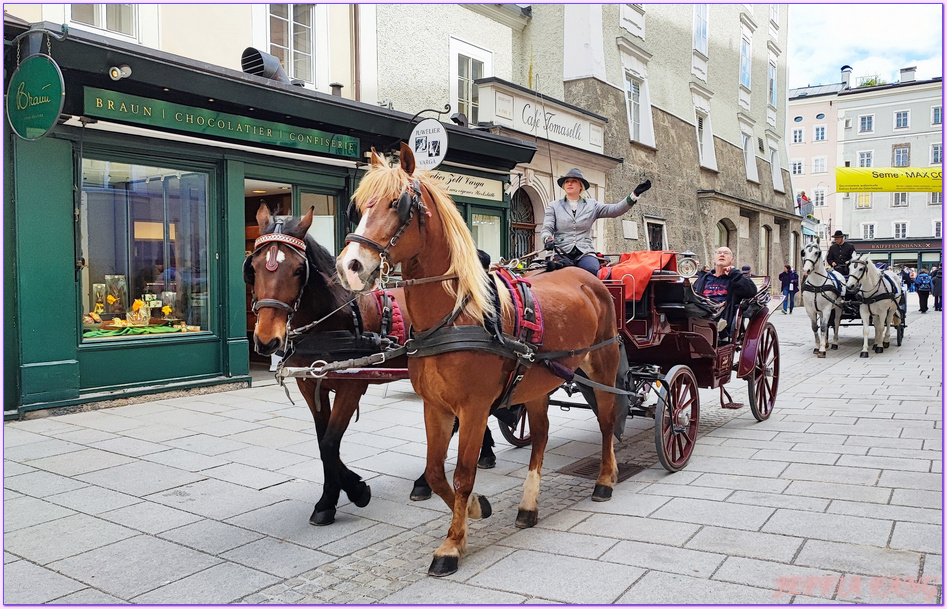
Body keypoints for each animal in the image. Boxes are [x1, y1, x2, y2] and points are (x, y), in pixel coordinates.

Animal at [336, 142, 624, 576]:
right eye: (358, 206)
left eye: (397, 203)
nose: (350, 266)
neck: (457, 314)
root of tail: (587, 276)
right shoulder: (436, 406)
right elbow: (436, 472)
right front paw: (475, 509)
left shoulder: (473, 408)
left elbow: (462, 473)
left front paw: (452, 545)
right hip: (536, 382)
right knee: (540, 435)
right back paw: (528, 505)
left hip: (601, 365)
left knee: (606, 421)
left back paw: (605, 480)